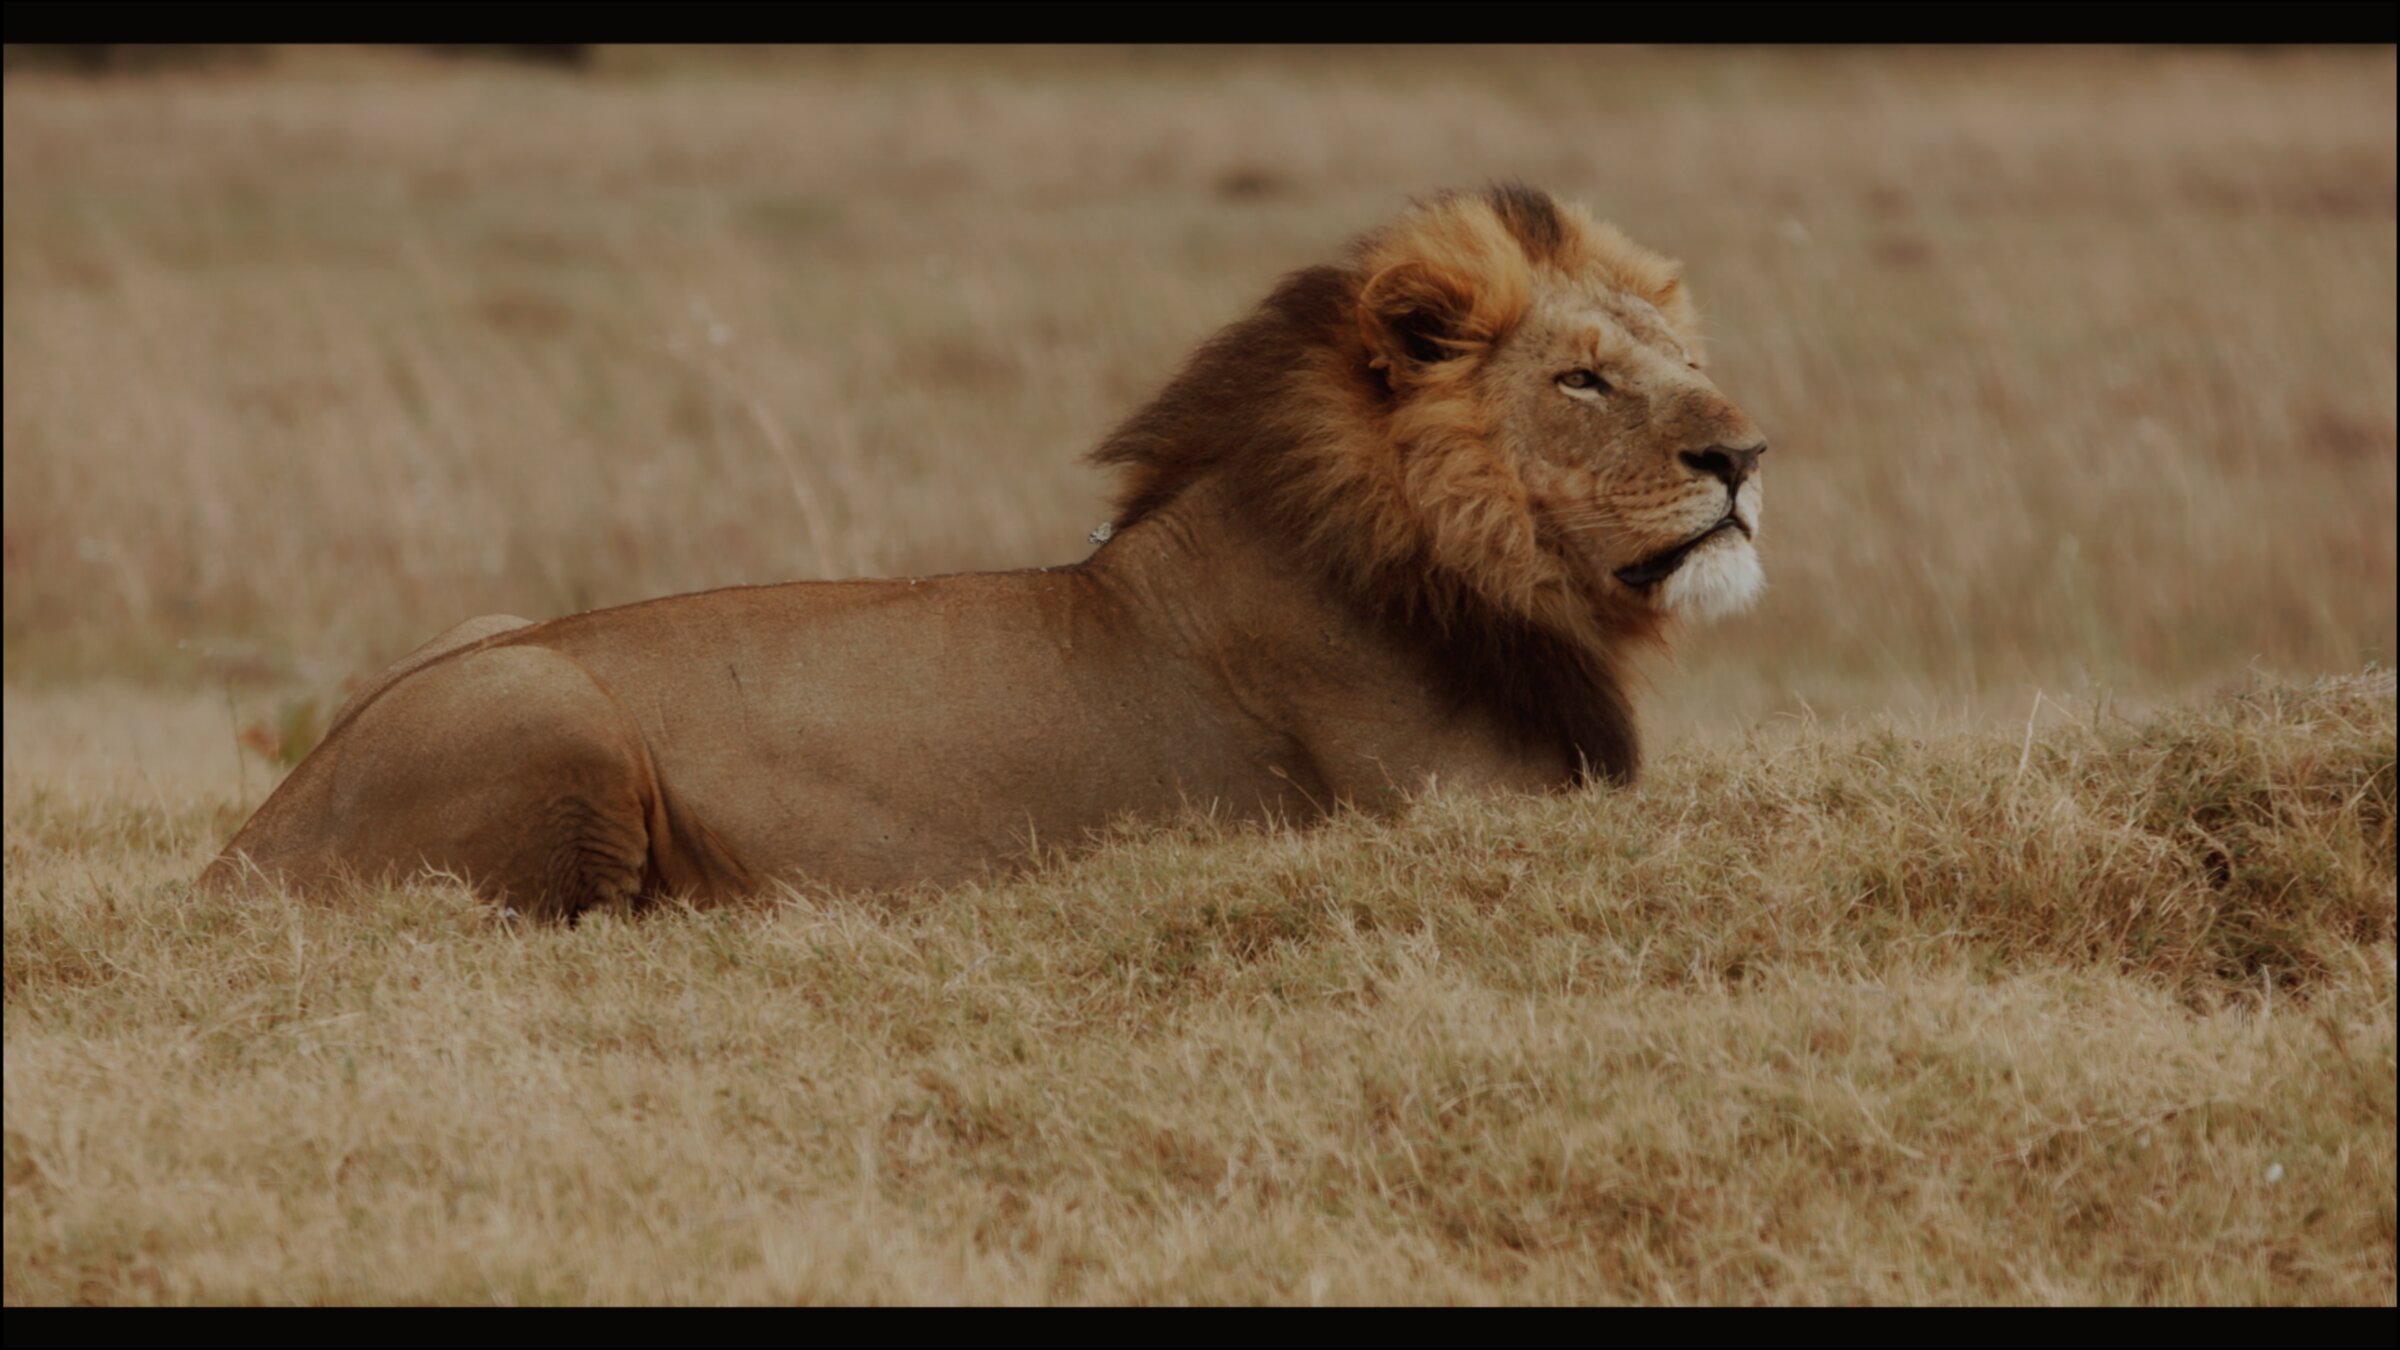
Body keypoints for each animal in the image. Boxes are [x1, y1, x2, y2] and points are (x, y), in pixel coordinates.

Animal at [199, 184, 1767, 918]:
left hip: (486, 632)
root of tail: (239, 854)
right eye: (1582, 381)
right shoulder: (1461, 809)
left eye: (1688, 362)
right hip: (547, 705)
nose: (1747, 456)